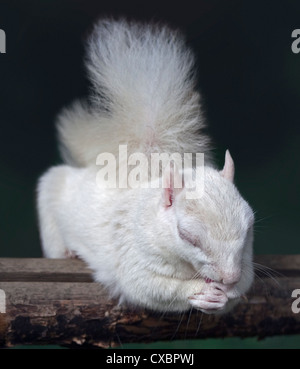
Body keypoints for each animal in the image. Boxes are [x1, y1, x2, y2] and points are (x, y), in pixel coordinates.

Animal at [36, 18, 254, 314]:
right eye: (187, 236)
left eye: (249, 225)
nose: (229, 278)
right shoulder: (132, 252)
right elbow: (149, 288)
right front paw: (199, 291)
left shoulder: (248, 261)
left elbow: (244, 286)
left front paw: (227, 295)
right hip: (52, 194)